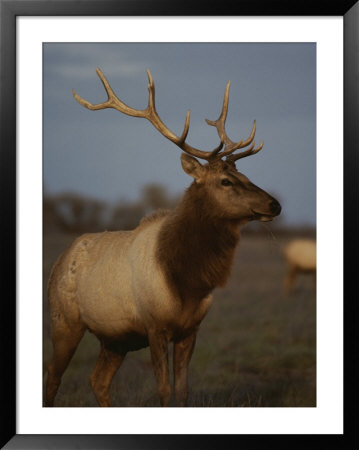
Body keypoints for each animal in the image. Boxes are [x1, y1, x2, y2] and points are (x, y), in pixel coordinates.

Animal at [44, 67, 282, 408]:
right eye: (225, 181)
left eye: (246, 176)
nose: (275, 204)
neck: (187, 281)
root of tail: (61, 260)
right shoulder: (154, 326)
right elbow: (164, 392)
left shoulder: (190, 330)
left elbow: (182, 391)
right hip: (63, 321)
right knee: (52, 376)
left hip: (115, 339)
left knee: (97, 380)